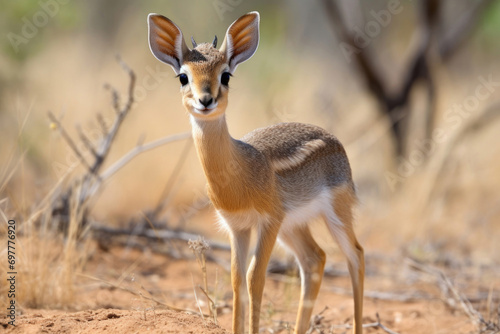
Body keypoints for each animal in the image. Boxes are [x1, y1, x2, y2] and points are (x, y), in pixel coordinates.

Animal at [148, 11, 364, 334]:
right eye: (183, 76)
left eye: (225, 74)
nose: (205, 100)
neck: (239, 172)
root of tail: (334, 142)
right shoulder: (238, 227)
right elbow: (237, 280)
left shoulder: (268, 222)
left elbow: (255, 278)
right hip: (293, 226)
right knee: (315, 259)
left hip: (334, 215)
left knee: (356, 256)